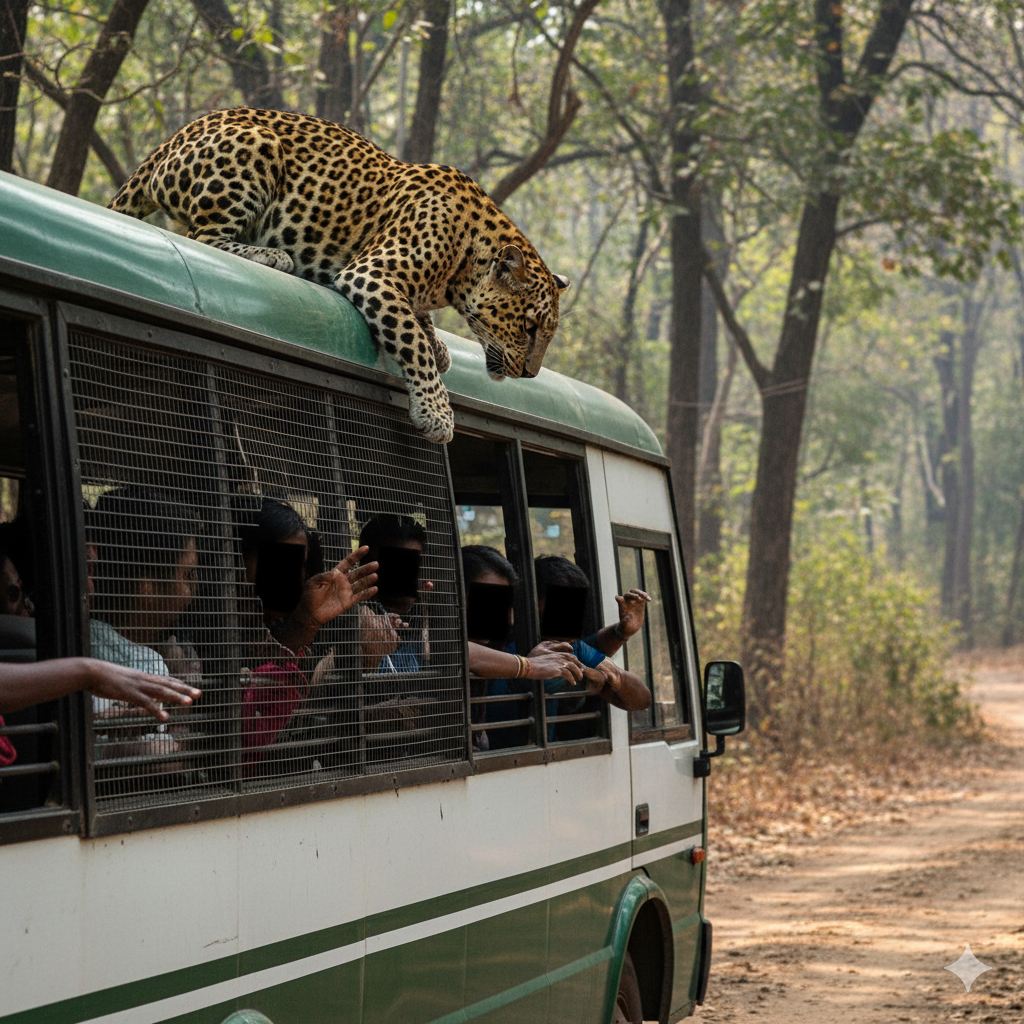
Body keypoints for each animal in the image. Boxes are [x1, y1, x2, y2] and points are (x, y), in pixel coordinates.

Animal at [107, 107, 570, 444]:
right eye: (529, 328)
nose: (530, 374)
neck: (462, 264)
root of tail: (172, 138)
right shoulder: (372, 273)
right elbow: (412, 342)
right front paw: (436, 412)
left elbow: (420, 323)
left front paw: (438, 342)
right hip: (255, 147)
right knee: (201, 237)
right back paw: (272, 255)